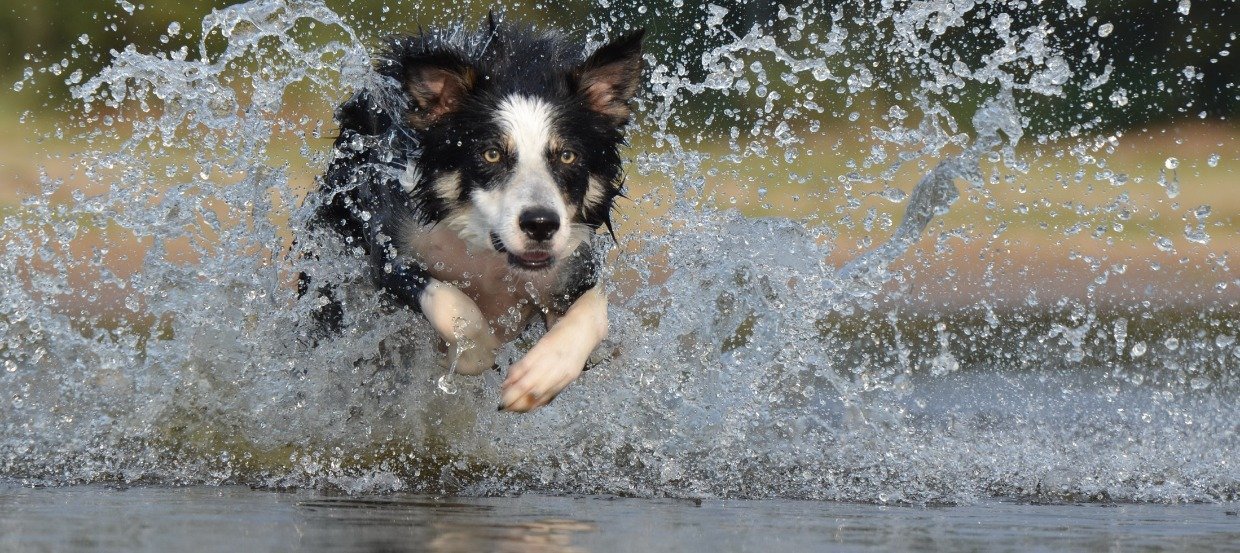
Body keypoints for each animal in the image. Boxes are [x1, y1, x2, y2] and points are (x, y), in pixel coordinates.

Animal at [302, 17, 649, 411]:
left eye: (567, 156)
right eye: (491, 154)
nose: (541, 225)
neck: (487, 253)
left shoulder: (573, 264)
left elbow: (594, 310)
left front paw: (541, 374)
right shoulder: (390, 250)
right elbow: (455, 306)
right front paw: (474, 352)